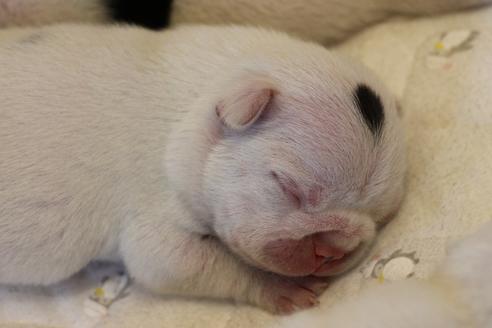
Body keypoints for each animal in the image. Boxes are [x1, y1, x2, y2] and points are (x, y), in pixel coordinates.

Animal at [0, 25, 404, 312]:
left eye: (380, 219)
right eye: (288, 187)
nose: (331, 252)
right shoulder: (155, 210)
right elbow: (181, 262)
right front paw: (282, 289)